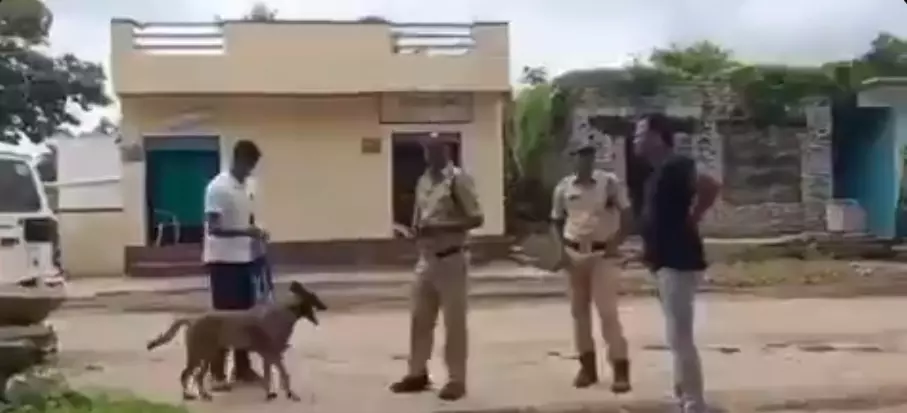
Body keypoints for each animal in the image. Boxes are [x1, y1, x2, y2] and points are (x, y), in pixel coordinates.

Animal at [146, 281, 327, 402]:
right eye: (314, 297)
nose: (325, 307)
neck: (285, 312)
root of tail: (192, 320)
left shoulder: (268, 355)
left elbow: (269, 376)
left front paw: (271, 393)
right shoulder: (273, 354)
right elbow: (284, 375)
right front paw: (290, 393)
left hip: (209, 354)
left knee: (196, 376)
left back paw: (202, 394)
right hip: (199, 353)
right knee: (186, 374)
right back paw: (189, 394)